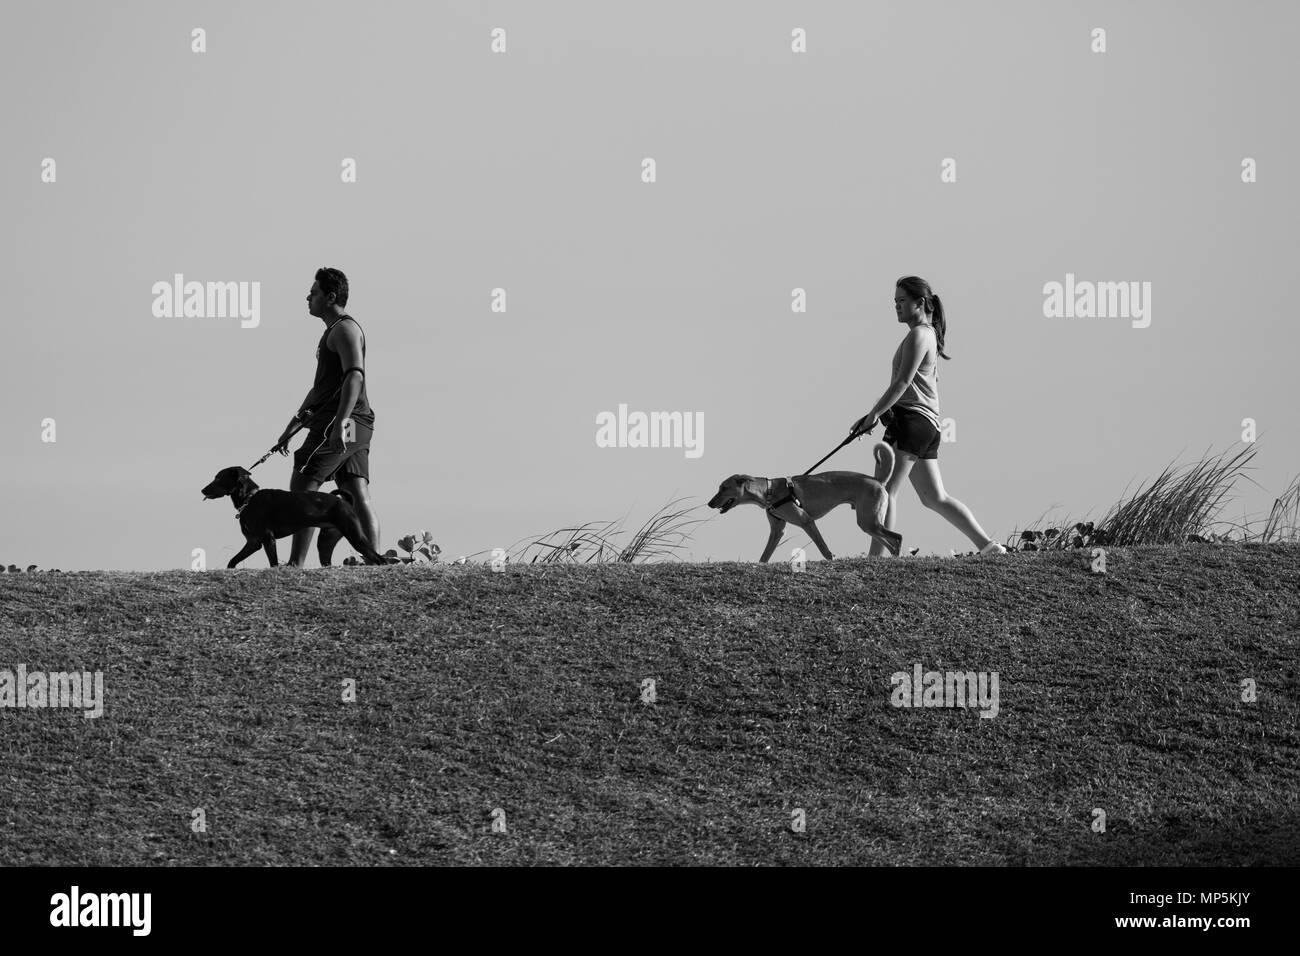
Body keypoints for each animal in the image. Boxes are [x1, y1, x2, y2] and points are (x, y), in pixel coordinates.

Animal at [196, 468, 379, 572]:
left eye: (218, 478)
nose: (202, 490)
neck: (250, 498)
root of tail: (345, 502)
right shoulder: (253, 542)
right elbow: (232, 560)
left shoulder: (267, 538)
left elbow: (273, 562)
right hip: (326, 541)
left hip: (355, 537)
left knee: (378, 558)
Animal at [712, 444, 904, 564]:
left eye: (723, 488)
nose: (709, 503)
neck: (770, 491)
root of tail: (877, 480)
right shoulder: (777, 531)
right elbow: (764, 556)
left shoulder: (807, 521)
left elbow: (824, 549)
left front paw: (831, 559)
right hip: (868, 523)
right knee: (890, 543)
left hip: (869, 520)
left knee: (898, 537)